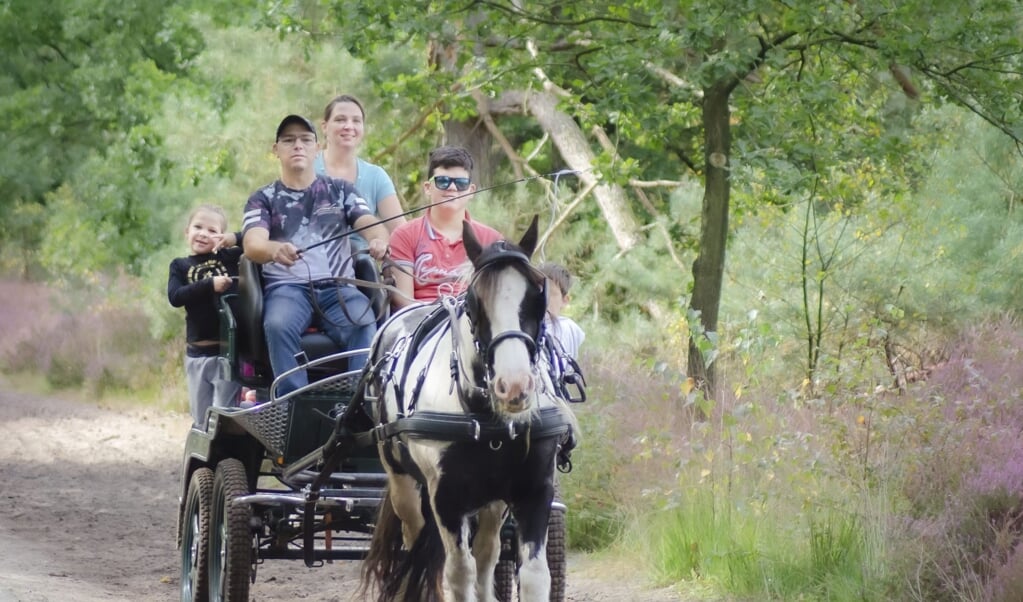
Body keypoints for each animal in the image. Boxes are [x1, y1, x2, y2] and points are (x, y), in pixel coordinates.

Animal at [362, 217, 576, 602]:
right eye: (475, 302)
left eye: (538, 295)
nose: (514, 385)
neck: (485, 418)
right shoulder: (446, 497)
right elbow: (458, 573)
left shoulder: (535, 490)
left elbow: (535, 575)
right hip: (403, 483)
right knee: (415, 545)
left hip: (492, 501)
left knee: (488, 552)